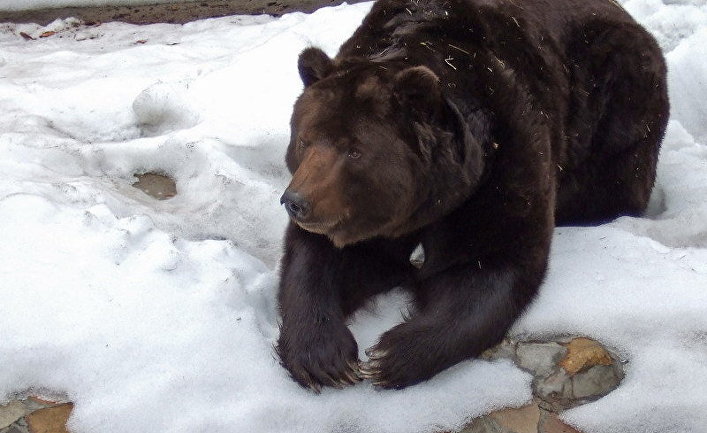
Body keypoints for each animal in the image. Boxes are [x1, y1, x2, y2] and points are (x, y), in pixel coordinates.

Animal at [276, 0, 668, 388]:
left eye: (355, 150)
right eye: (305, 139)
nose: (296, 202)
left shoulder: (501, 162)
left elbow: (488, 264)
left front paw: (390, 356)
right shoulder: (360, 214)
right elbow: (319, 258)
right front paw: (325, 358)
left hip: (613, 93)